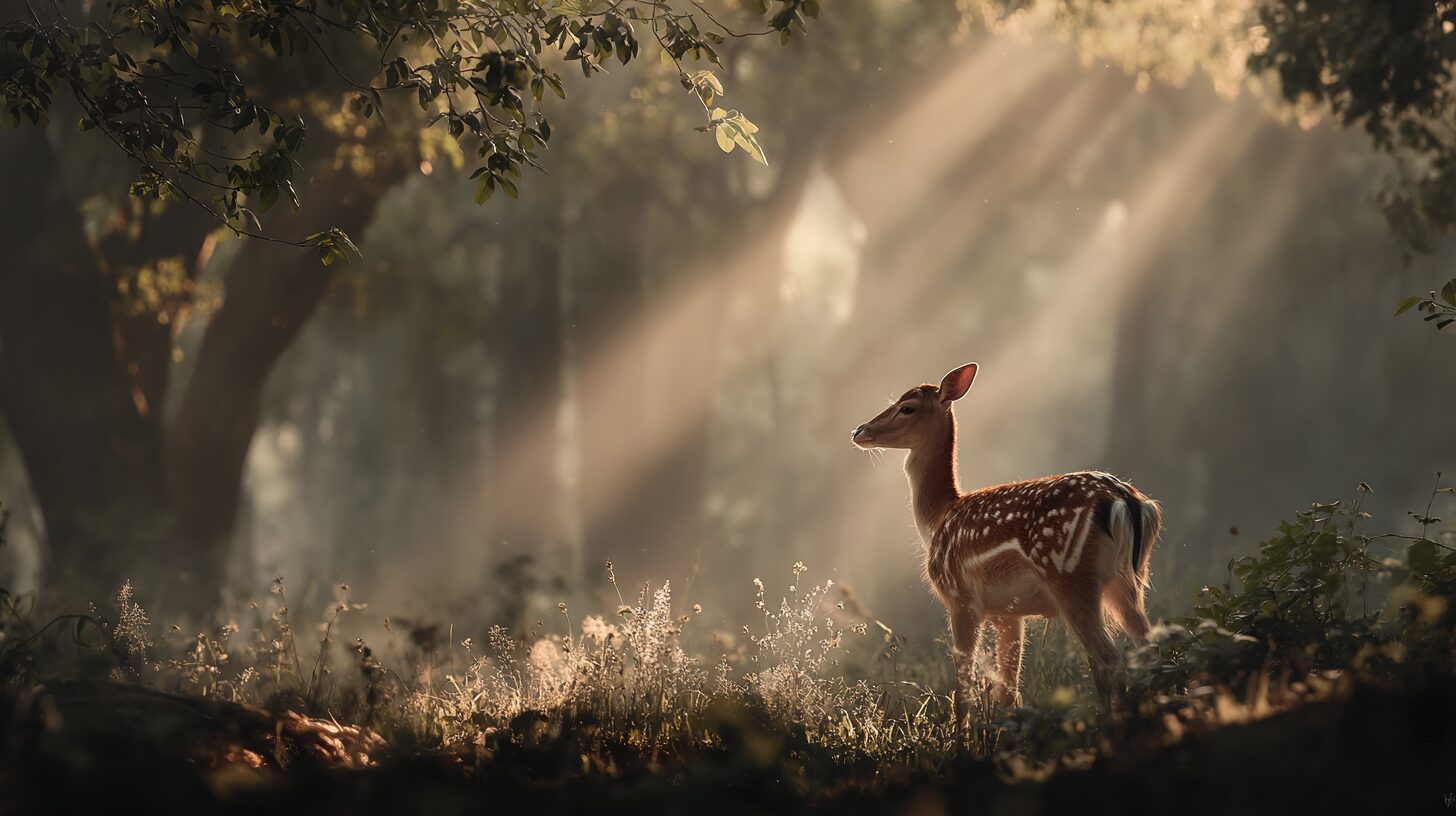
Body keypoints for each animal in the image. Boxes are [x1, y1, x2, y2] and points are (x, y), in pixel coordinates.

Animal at [851, 362, 1160, 721]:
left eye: (907, 407)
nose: (859, 431)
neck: (939, 518)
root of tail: (1126, 500)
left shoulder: (961, 598)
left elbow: (964, 691)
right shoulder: (1008, 612)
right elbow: (1008, 691)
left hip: (1071, 578)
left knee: (1110, 661)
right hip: (1128, 582)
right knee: (1152, 649)